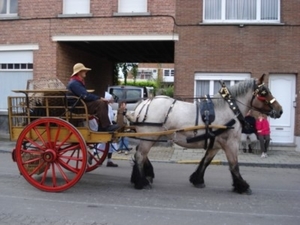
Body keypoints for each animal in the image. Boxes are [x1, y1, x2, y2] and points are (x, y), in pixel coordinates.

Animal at [127, 74, 284, 194]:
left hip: (151, 136)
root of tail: (142, 104)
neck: (229, 110)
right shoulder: (230, 143)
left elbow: (206, 161)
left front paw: (197, 180)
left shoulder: (215, 145)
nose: (280, 110)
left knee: (141, 154)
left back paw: (144, 176)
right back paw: (142, 182)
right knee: (140, 155)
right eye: (264, 92)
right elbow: (234, 164)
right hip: (150, 136)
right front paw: (242, 186)